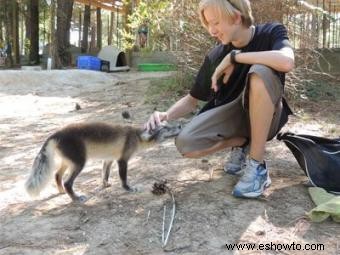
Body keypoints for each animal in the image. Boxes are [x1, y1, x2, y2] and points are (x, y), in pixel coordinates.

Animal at [25, 122, 182, 203]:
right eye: (166, 128)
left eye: (168, 124)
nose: (180, 125)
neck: (136, 136)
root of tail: (56, 134)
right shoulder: (122, 160)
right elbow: (123, 178)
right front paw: (128, 188)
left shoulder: (108, 159)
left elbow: (104, 174)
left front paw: (105, 185)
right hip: (79, 163)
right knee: (67, 182)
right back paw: (75, 198)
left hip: (68, 162)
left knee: (57, 175)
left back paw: (62, 191)